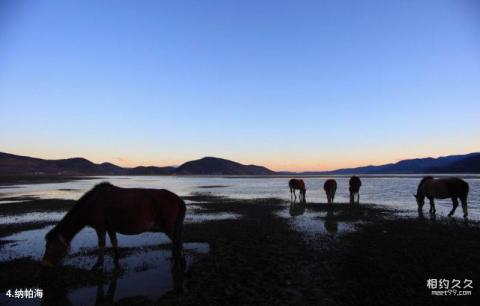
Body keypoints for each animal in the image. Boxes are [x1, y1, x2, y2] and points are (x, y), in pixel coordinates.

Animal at [41, 183, 186, 268]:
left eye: (51, 246)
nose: (45, 264)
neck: (92, 204)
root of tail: (177, 198)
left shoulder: (100, 227)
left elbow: (102, 244)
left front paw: (99, 264)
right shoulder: (110, 227)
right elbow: (114, 242)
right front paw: (116, 259)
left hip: (168, 227)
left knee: (177, 243)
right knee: (177, 243)